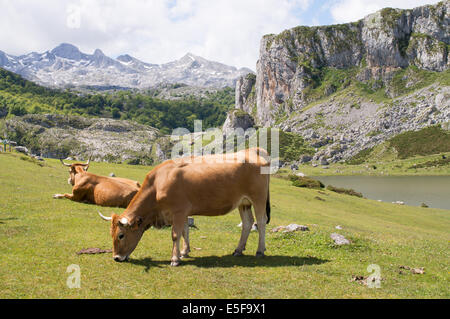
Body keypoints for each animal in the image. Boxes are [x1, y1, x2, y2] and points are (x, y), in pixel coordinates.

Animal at [98, 149, 270, 266]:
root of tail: (252, 150)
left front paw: (175, 259)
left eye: (121, 235)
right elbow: (185, 231)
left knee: (261, 222)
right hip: (244, 203)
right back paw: (238, 250)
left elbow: (176, 234)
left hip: (258, 198)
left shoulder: (179, 211)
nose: (116, 258)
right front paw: (184, 252)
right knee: (247, 223)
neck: (158, 183)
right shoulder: (184, 212)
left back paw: (260, 251)